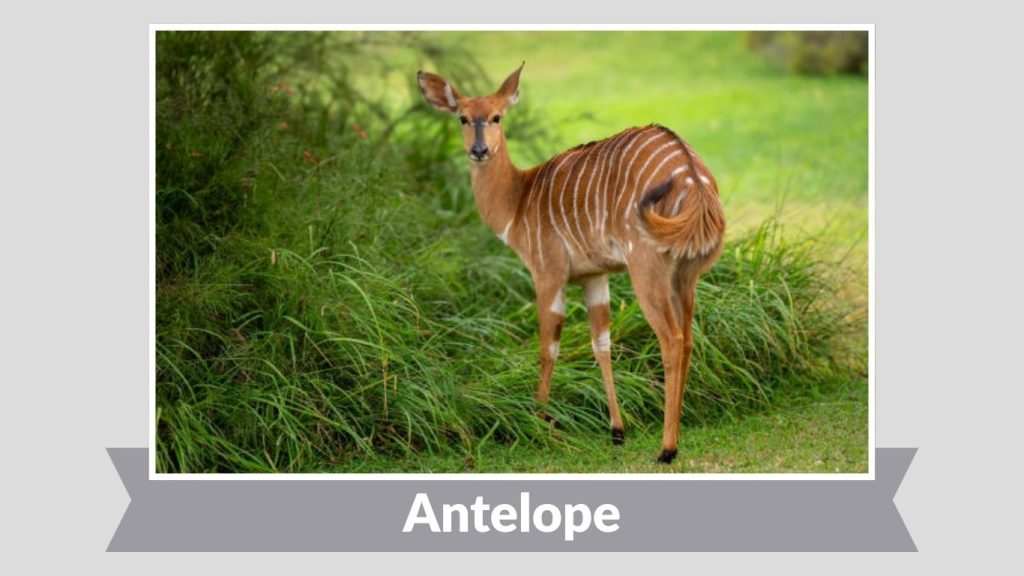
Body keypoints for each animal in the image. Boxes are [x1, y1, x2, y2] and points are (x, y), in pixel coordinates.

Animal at [417, 63, 725, 463]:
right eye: (463, 118)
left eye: (497, 116)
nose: (479, 150)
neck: (518, 200)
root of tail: (693, 177)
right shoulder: (595, 277)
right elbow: (601, 344)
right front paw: (616, 431)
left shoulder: (548, 273)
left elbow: (547, 347)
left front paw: (537, 421)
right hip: (686, 276)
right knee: (687, 339)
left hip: (646, 268)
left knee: (671, 339)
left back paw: (667, 449)